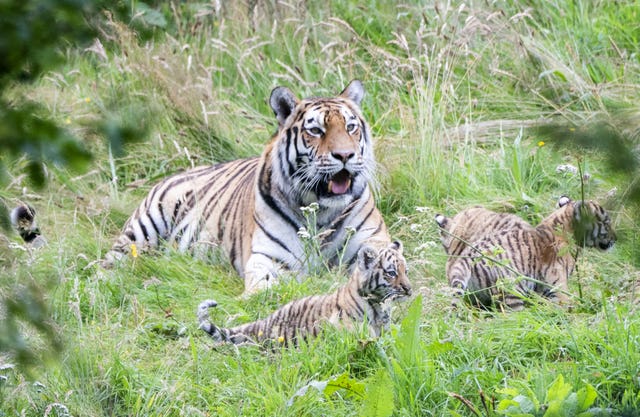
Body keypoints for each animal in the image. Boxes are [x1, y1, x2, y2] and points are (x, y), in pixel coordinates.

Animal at [104, 79, 390, 292]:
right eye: (316, 131)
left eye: (351, 127)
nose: (345, 155)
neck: (322, 212)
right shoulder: (268, 258)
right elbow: (266, 286)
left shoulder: (375, 243)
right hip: (141, 230)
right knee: (110, 263)